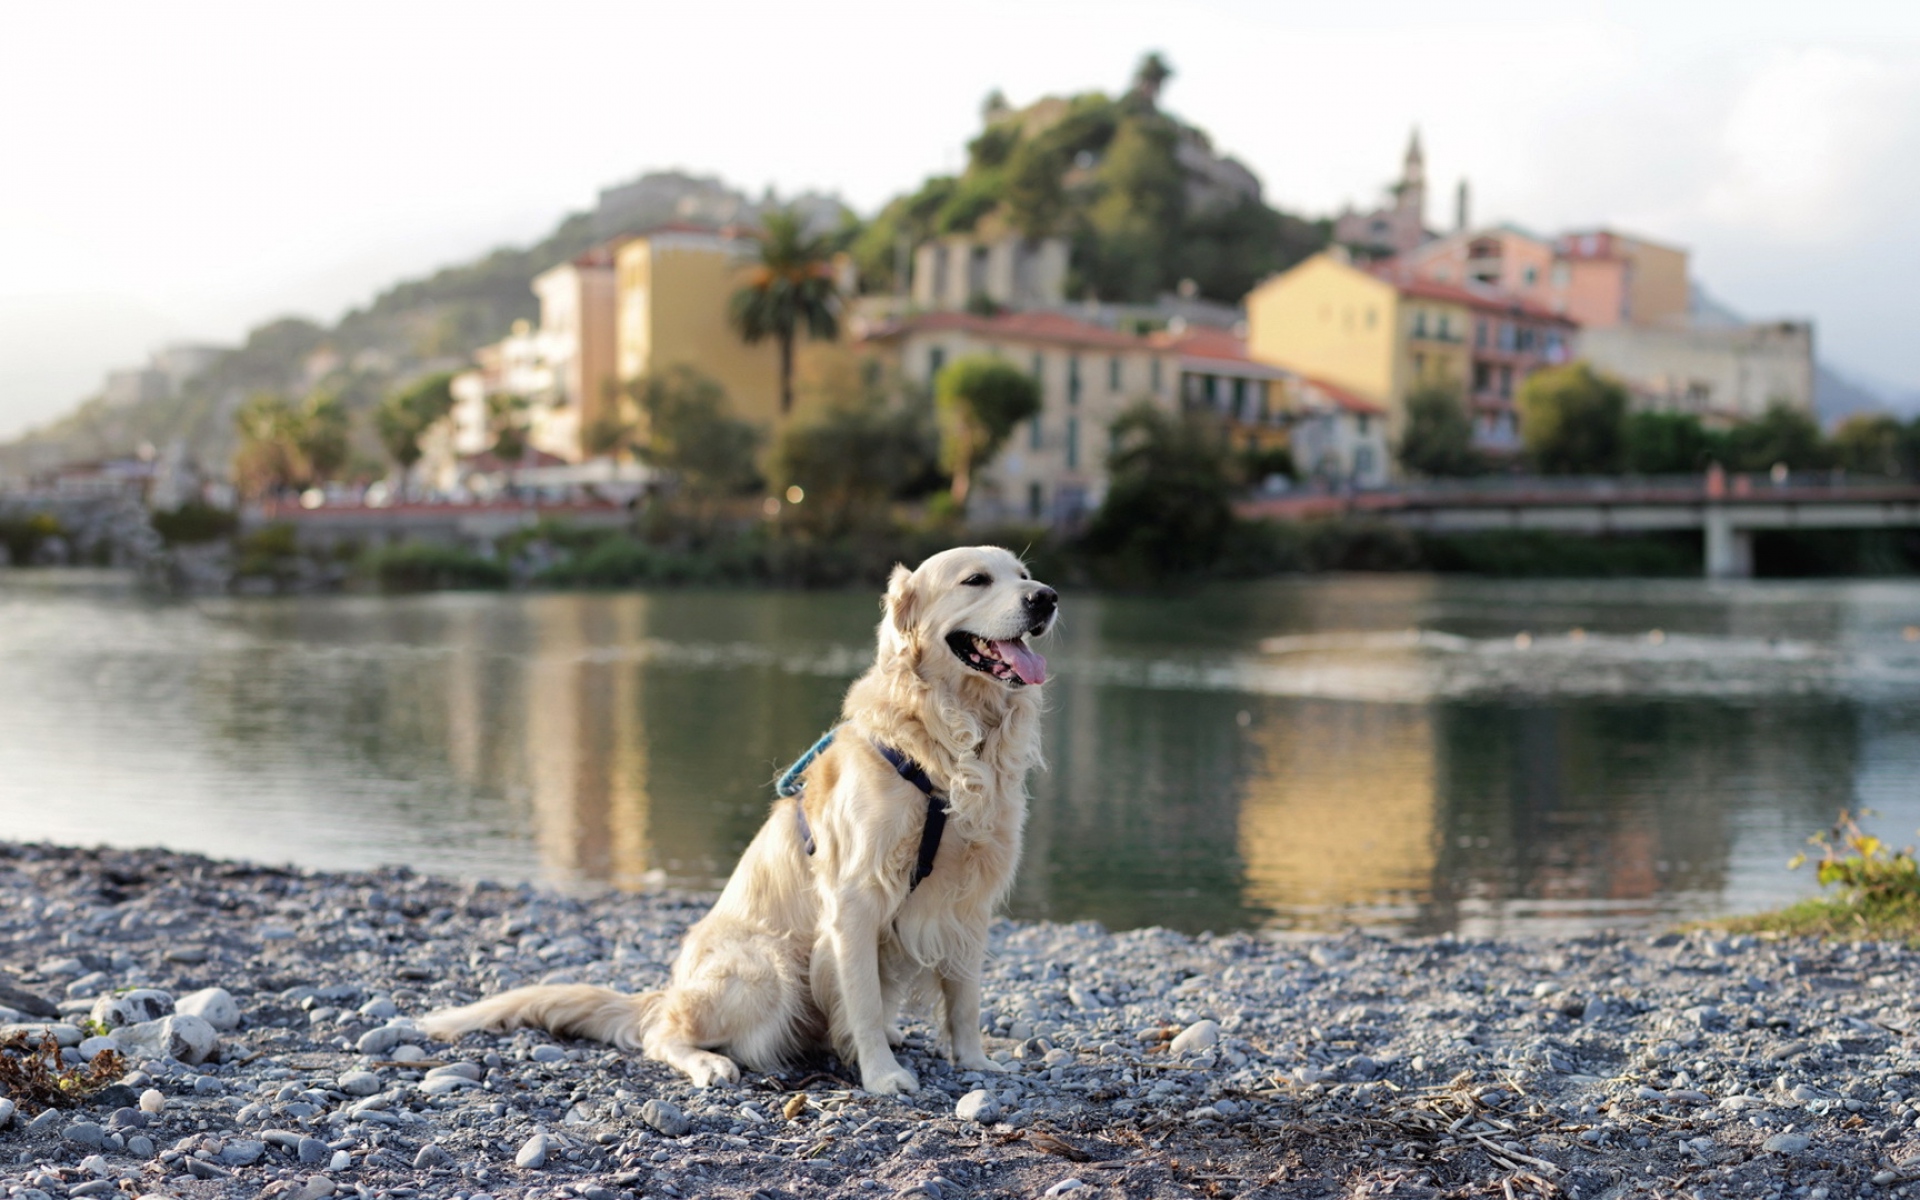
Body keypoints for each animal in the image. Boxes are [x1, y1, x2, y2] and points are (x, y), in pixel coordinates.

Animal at [422, 549, 1059, 1090]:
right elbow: (862, 999)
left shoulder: (969, 900)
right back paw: (710, 1064)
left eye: (1024, 573)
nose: (1047, 597)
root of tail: (671, 989)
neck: (947, 746)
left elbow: (966, 997)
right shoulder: (855, 896)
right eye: (975, 580)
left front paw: (976, 1062)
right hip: (766, 968)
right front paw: (882, 1076)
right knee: (663, 1033)